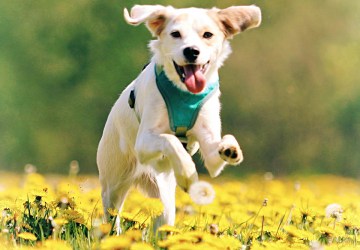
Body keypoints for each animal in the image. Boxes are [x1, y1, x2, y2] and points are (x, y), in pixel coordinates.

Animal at [97, 4, 262, 232]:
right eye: (175, 34)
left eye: (207, 34)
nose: (191, 51)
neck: (185, 93)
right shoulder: (143, 142)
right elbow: (171, 140)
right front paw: (187, 173)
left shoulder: (211, 151)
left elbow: (218, 150)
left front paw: (230, 148)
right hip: (114, 183)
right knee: (112, 213)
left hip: (165, 199)